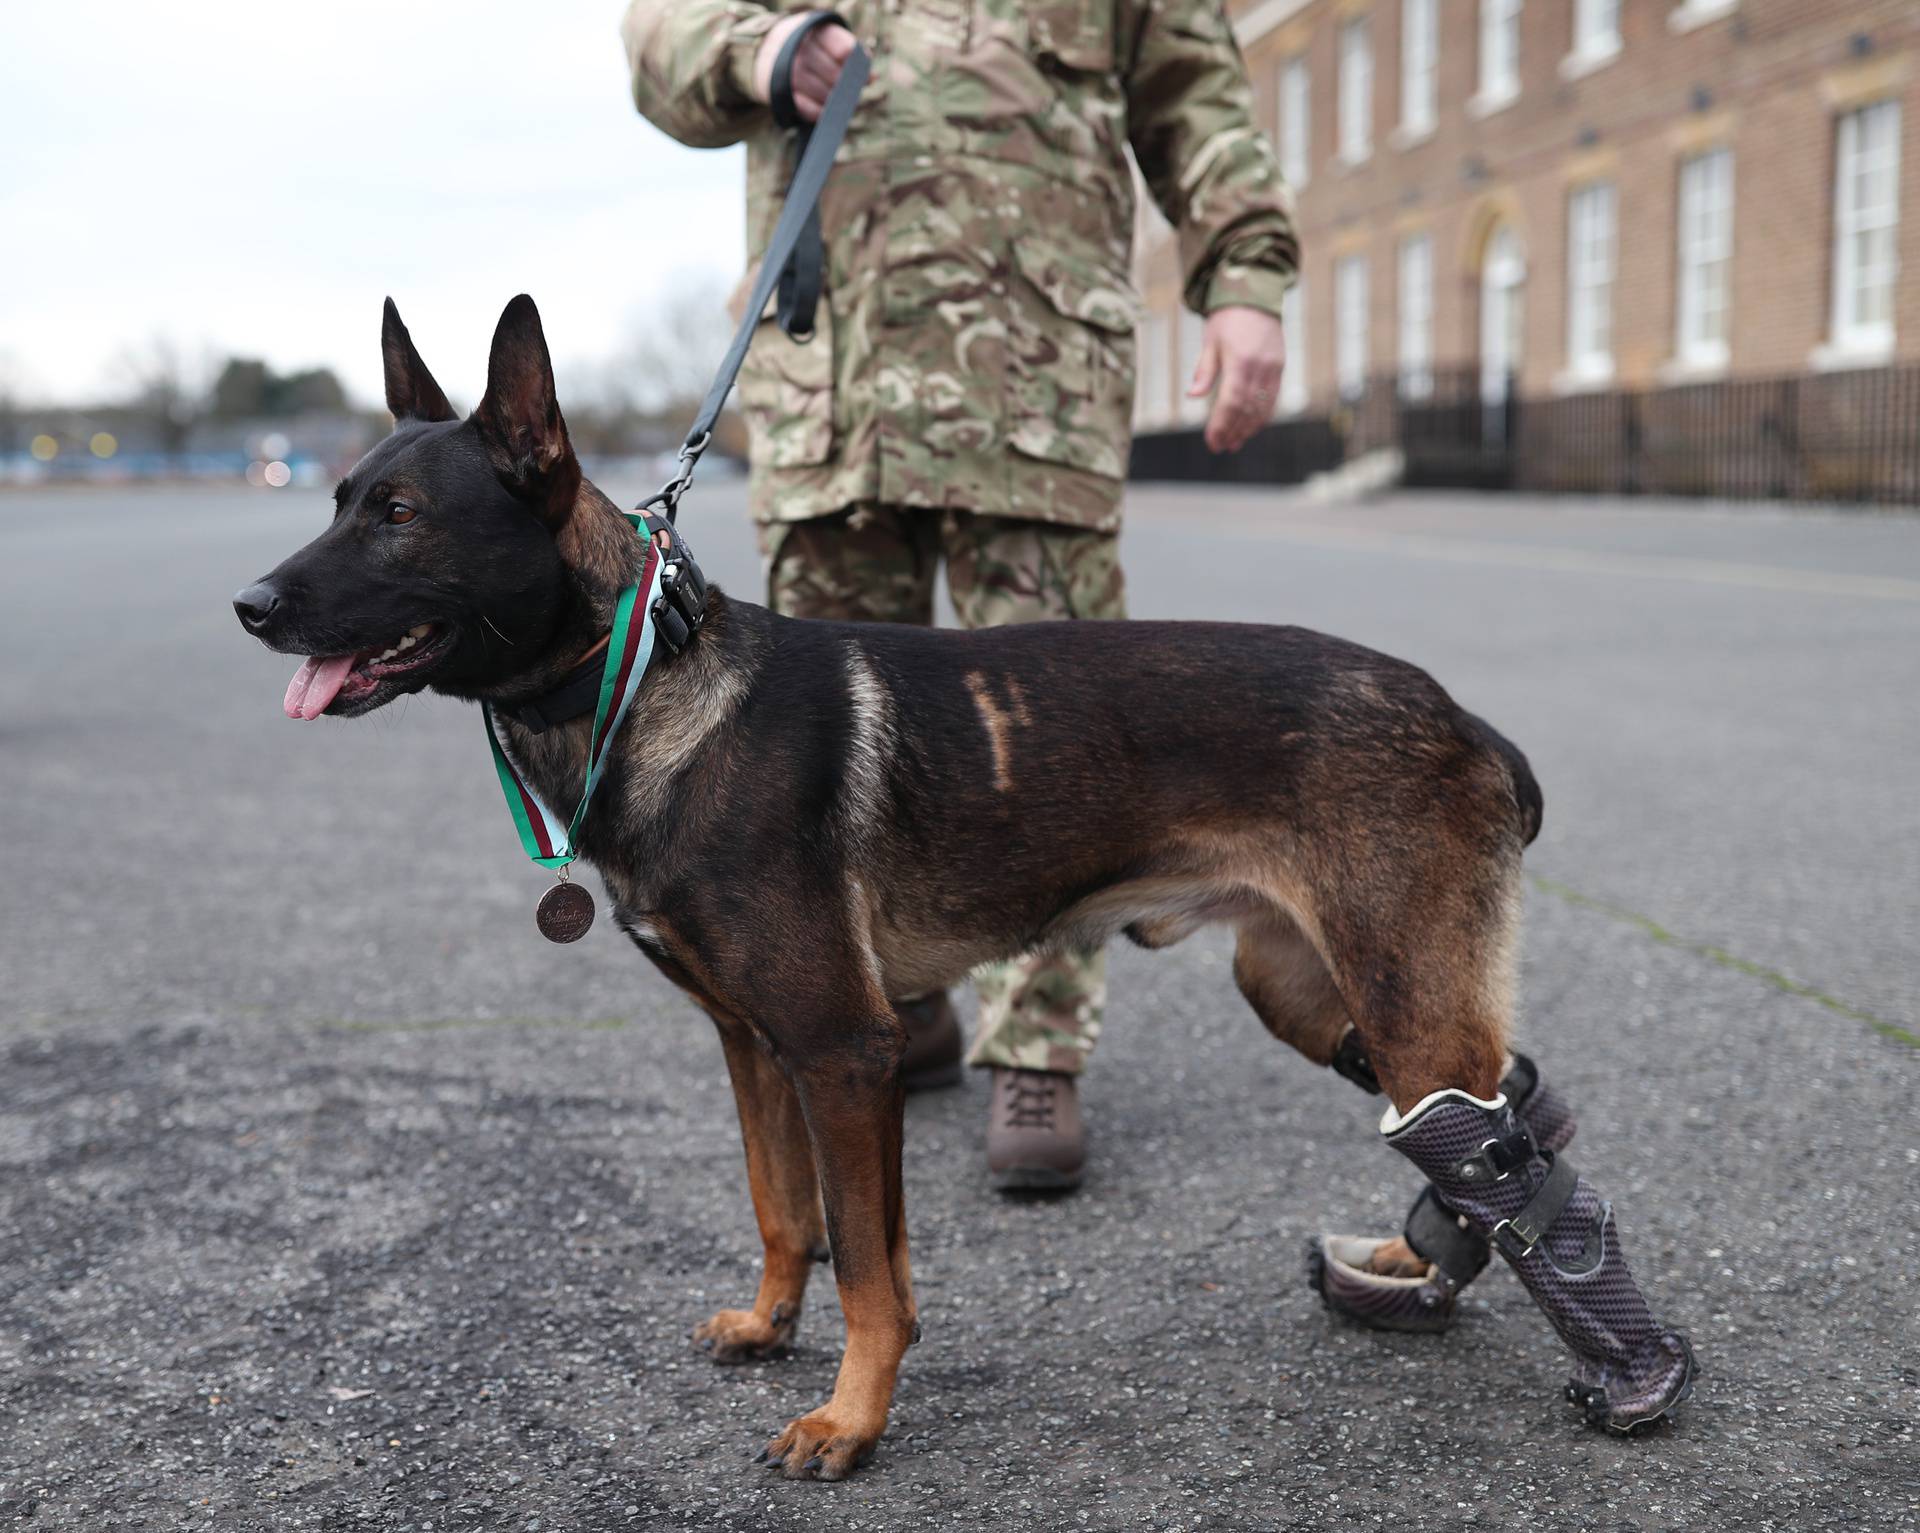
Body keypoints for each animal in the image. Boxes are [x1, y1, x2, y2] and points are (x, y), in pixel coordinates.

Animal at [236, 293, 1697, 1483]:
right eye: (334, 501)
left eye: (400, 518)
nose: (249, 606)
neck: (648, 681)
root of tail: (1460, 715)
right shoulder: (754, 1047)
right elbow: (787, 1216)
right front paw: (771, 1327)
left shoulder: (843, 1052)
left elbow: (871, 1268)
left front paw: (851, 1419)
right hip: (1312, 991)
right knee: (1510, 1107)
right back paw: (1428, 1259)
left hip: (1393, 992)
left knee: (1501, 1136)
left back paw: (1633, 1370)